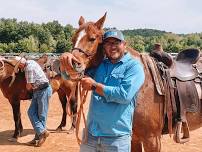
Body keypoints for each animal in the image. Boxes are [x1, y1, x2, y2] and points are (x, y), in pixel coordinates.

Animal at [59, 13, 202, 151]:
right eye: (73, 39)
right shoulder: (134, 138)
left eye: (92, 38)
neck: (143, 84)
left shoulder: (152, 140)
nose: (69, 63)